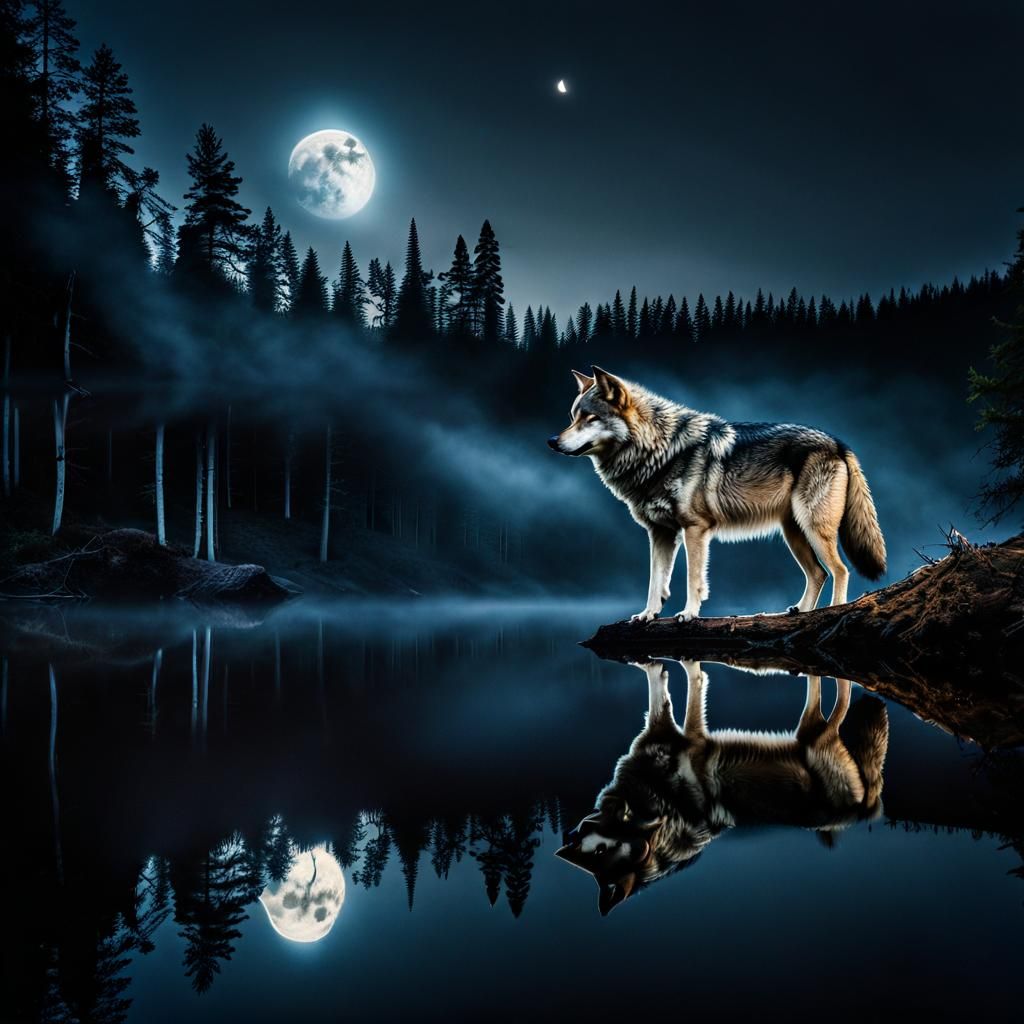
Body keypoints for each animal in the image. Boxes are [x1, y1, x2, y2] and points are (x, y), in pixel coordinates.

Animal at [547, 367, 886, 620]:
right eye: (572, 417)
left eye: (590, 418)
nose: (552, 441)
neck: (658, 451)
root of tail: (839, 443)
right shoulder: (660, 533)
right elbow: (656, 581)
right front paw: (647, 615)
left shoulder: (695, 529)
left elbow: (693, 579)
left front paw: (688, 614)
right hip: (794, 534)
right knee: (818, 573)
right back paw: (799, 612)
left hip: (814, 529)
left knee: (840, 570)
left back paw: (831, 612)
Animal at [556, 660, 888, 915]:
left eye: (604, 849)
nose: (570, 834)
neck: (655, 800)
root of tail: (864, 809)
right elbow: (663, 697)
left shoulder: (689, 738)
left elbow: (670, 694)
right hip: (812, 733)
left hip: (816, 737)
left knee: (839, 701)